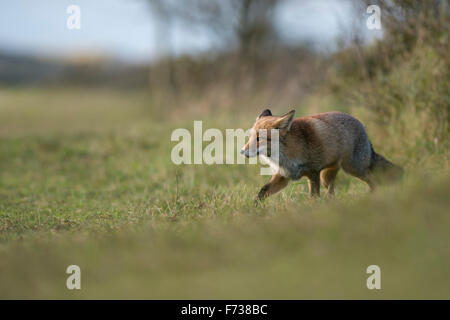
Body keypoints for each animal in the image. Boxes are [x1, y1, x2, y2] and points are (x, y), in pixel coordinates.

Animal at [241, 109, 402, 200]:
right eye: (250, 137)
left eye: (259, 138)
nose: (242, 151)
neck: (285, 156)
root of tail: (362, 126)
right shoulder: (283, 175)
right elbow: (262, 192)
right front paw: (254, 210)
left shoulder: (313, 173)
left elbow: (313, 198)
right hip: (327, 177)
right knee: (332, 192)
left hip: (355, 169)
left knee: (373, 181)